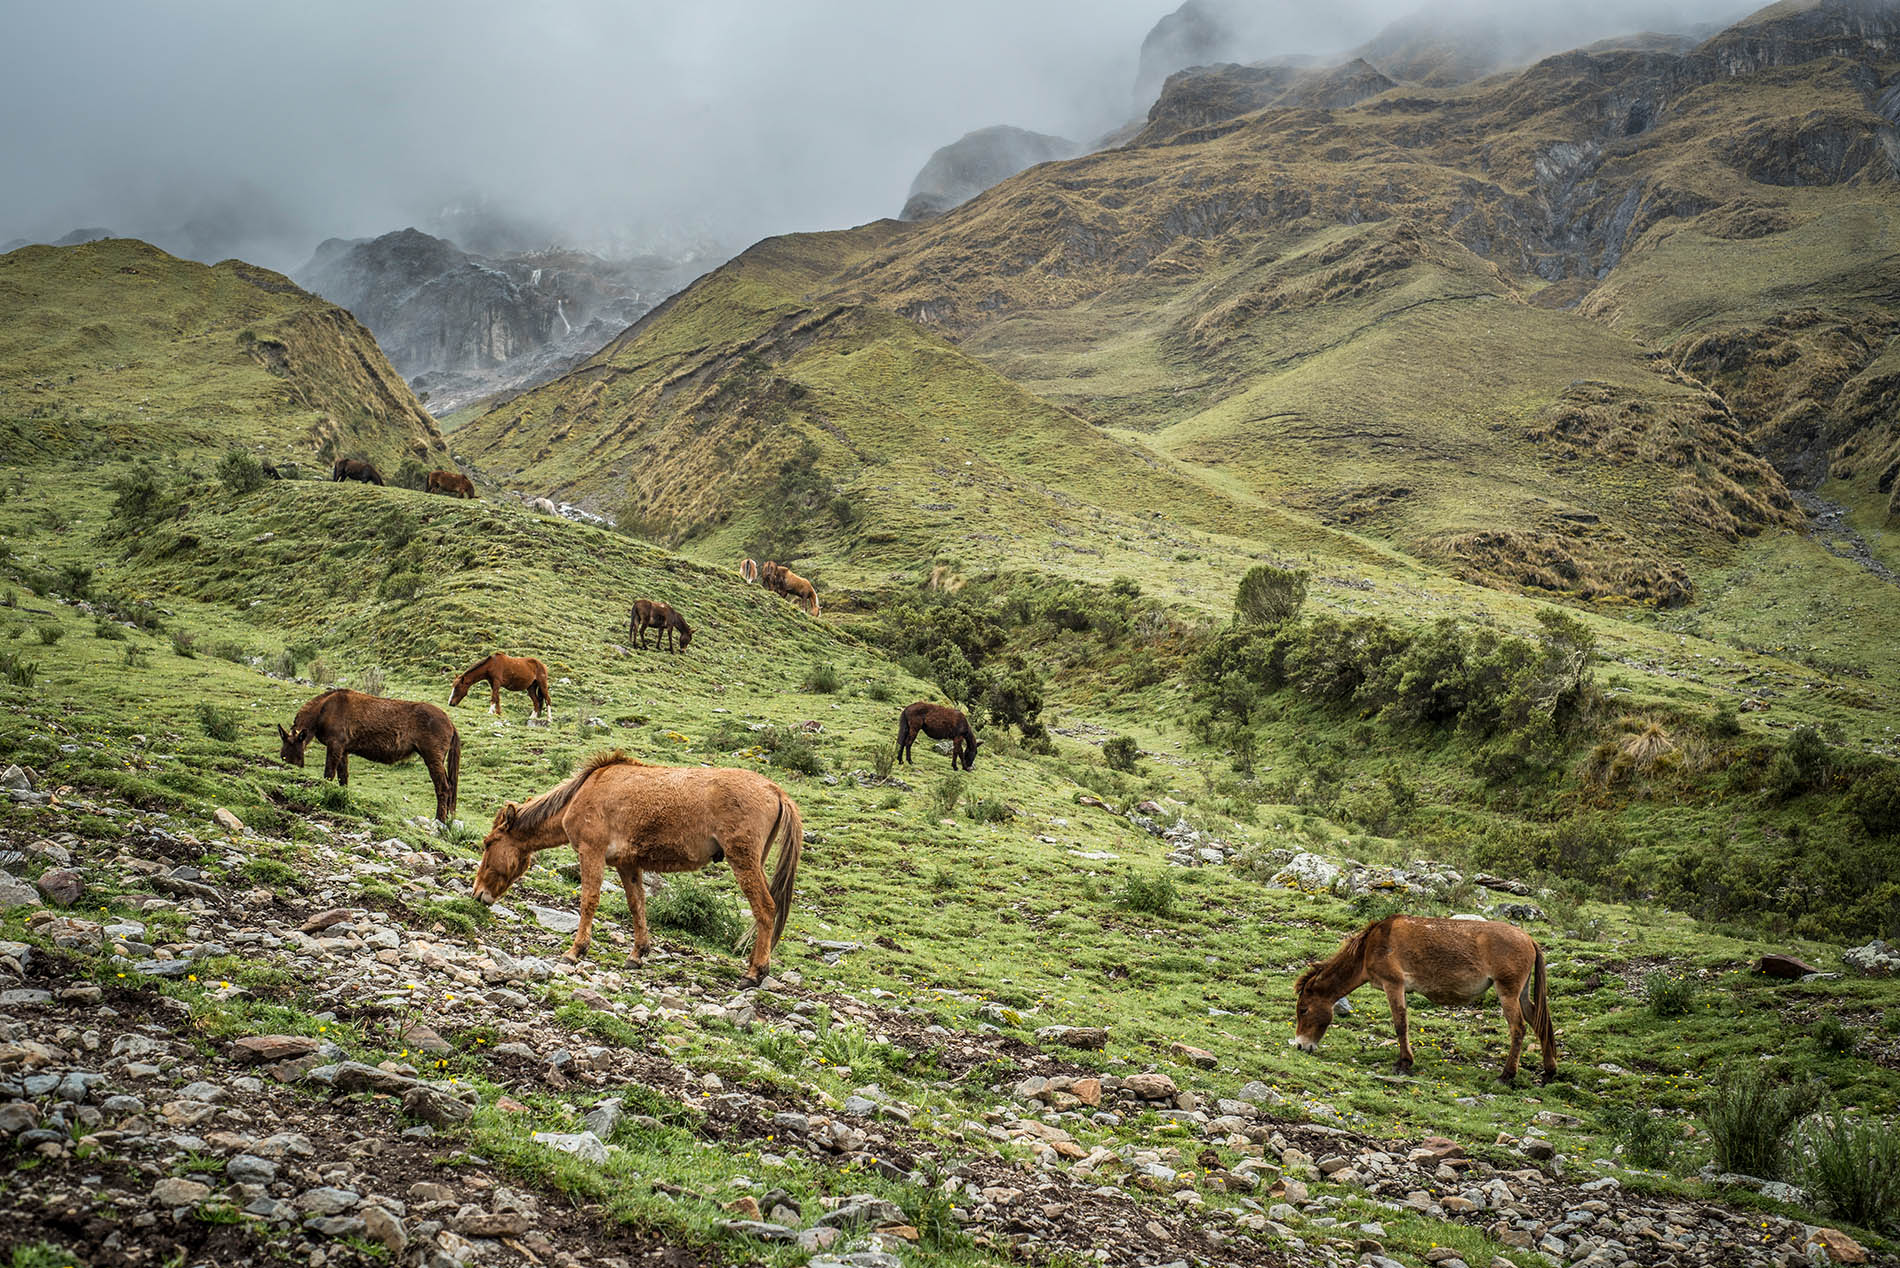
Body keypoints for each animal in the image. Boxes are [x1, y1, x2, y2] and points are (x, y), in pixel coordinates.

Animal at [277, 695, 459, 825]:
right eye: (282, 757)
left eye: (289, 756)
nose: (290, 771)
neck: (325, 708)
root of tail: (450, 722)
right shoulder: (343, 750)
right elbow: (343, 778)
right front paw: (342, 798)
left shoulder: (335, 746)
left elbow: (328, 774)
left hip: (433, 759)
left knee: (443, 788)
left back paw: (440, 821)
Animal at [475, 749, 809, 988]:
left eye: (488, 843)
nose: (477, 894)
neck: (583, 793)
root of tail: (775, 790)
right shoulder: (628, 865)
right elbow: (637, 905)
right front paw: (637, 955)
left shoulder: (591, 853)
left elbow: (588, 901)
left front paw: (575, 951)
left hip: (743, 861)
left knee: (765, 908)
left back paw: (754, 973)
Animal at [1292, 916, 1558, 1087]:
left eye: (1303, 1010)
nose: (1300, 1046)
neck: (1371, 947)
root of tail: (1529, 939)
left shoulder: (1394, 984)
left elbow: (1400, 1024)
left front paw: (1403, 1063)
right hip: (1521, 994)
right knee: (1539, 1024)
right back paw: (1549, 1072)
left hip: (1508, 992)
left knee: (1518, 1029)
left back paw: (1506, 1075)